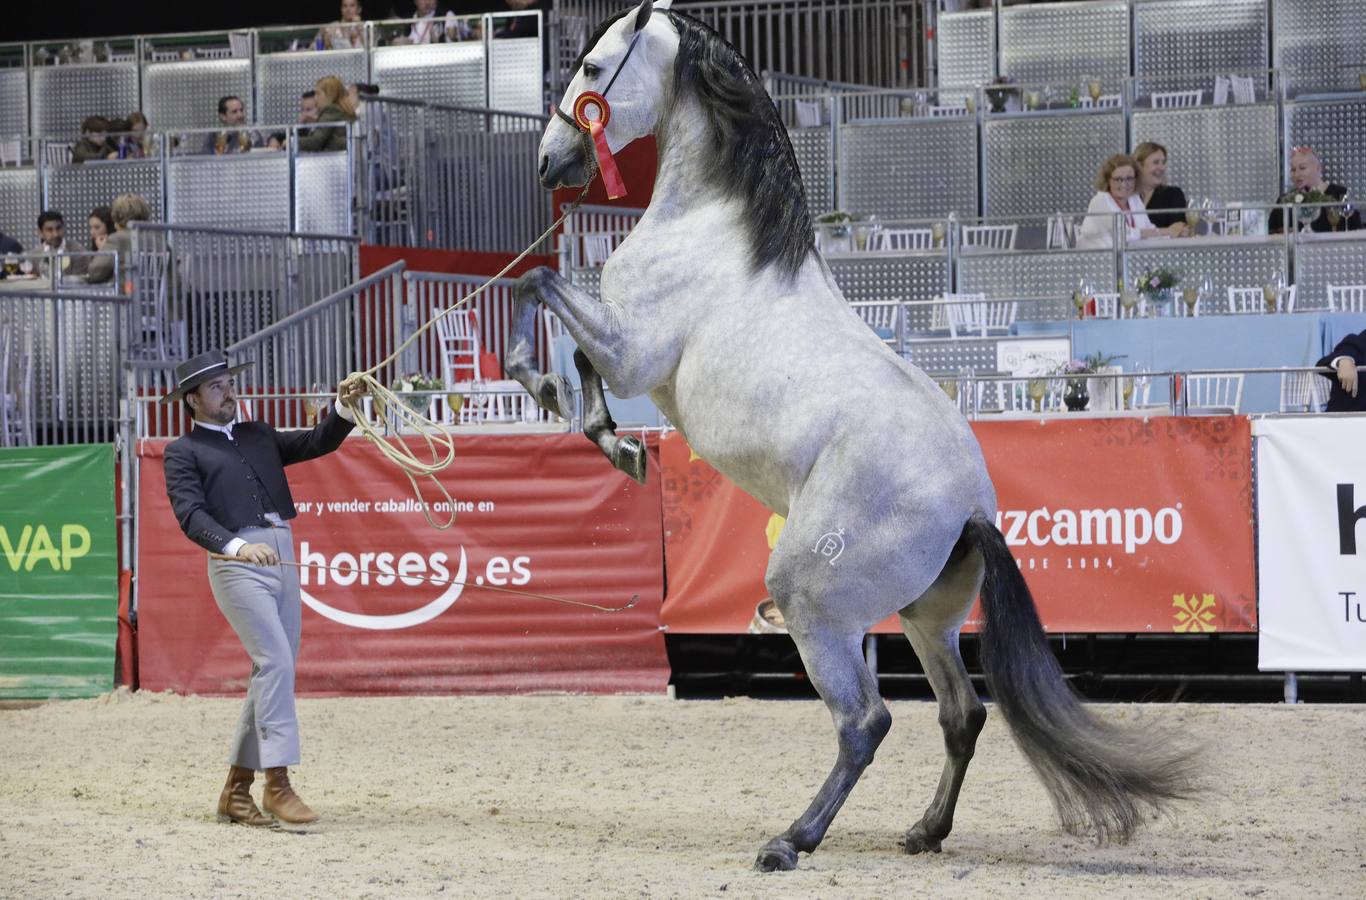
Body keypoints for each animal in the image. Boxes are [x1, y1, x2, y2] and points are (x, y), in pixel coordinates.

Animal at [504, 0, 1197, 872]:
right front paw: (613, 442)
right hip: (925, 620)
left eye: (593, 69)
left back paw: (790, 840)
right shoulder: (627, 350)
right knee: (962, 715)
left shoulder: (635, 355)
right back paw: (924, 832)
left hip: (812, 600)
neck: (717, 233)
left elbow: (540, 293)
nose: (547, 162)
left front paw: (582, 418)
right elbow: (561, 331)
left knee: (866, 723)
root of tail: (971, 509)